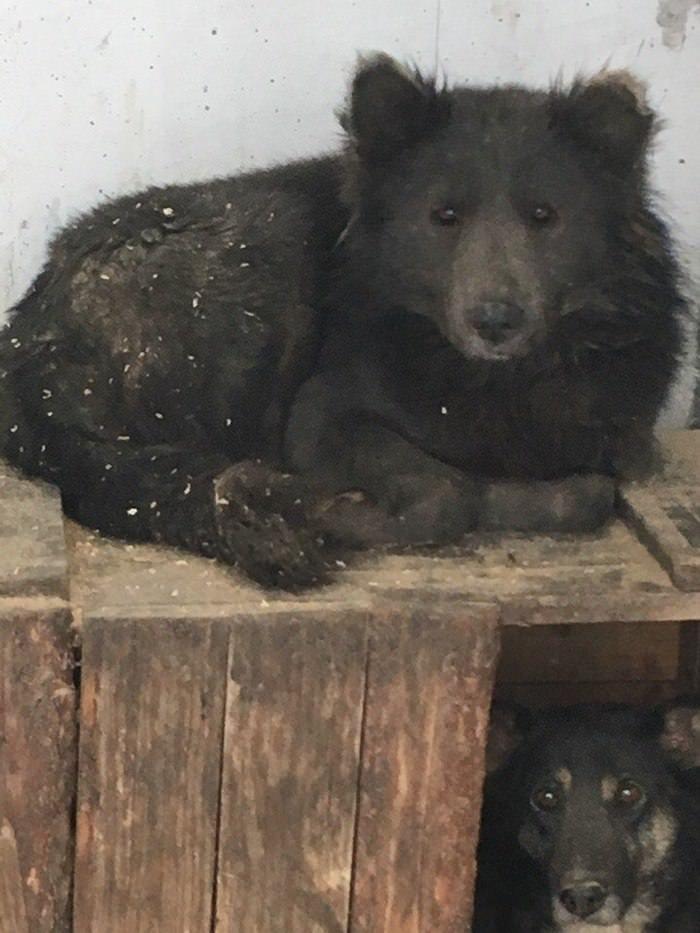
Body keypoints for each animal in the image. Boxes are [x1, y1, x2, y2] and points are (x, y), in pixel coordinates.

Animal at [0, 54, 688, 588]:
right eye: (444, 216)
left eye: (545, 216)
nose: (496, 321)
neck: (492, 382)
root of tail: (30, 334)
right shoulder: (321, 414)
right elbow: (450, 493)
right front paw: (348, 514)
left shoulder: (617, 442)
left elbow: (586, 493)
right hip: (258, 259)